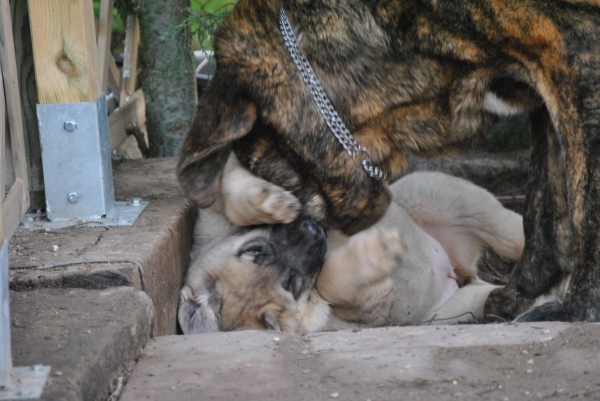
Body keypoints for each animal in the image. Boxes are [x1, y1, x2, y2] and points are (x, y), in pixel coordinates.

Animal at [178, 155, 524, 332]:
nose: (312, 230)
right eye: (292, 285)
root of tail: (456, 265)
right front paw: (377, 253)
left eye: (256, 250)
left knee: (511, 231)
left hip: (439, 195)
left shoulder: (210, 221)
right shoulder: (364, 307)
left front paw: (266, 202)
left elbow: (226, 188)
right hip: (454, 310)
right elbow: (330, 280)